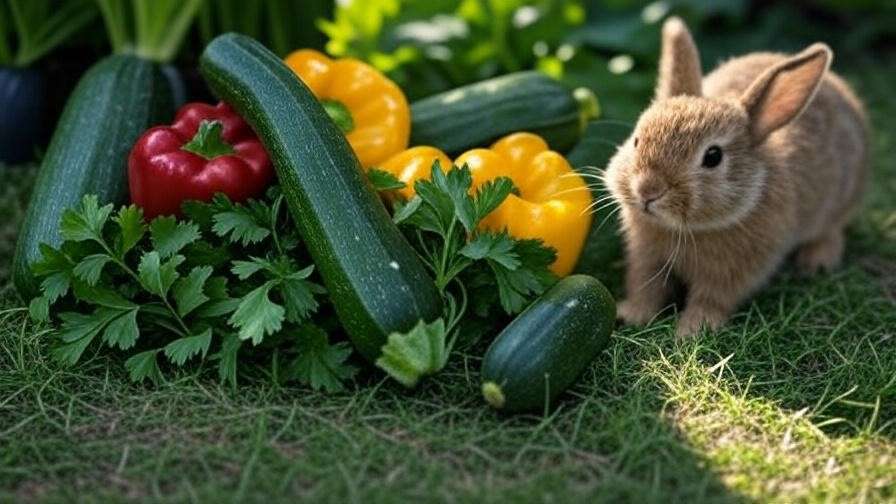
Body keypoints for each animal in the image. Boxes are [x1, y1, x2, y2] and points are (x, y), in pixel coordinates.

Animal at [603, 17, 869, 337]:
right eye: (637, 140)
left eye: (713, 157)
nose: (647, 191)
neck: (686, 229)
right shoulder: (646, 258)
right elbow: (646, 287)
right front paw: (630, 314)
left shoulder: (732, 272)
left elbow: (711, 299)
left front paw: (692, 330)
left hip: (839, 203)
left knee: (832, 230)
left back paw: (817, 261)